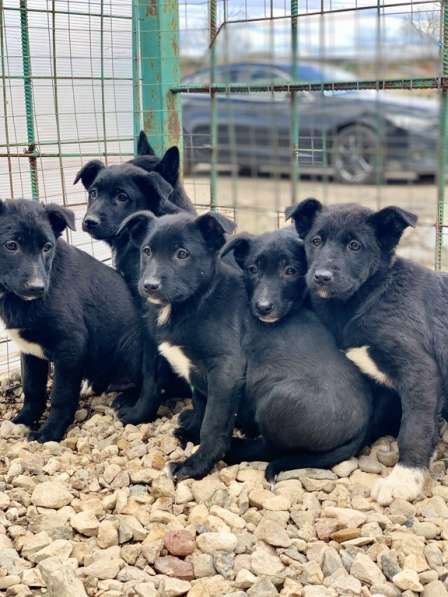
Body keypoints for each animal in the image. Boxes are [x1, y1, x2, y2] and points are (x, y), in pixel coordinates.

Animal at [0, 200, 144, 442]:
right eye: (11, 245)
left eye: (47, 247)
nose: (38, 288)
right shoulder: (30, 351)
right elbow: (32, 389)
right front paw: (23, 420)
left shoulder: (69, 347)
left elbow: (61, 396)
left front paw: (49, 432)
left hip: (130, 344)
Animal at [222, 227, 400, 480]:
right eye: (252, 269)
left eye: (291, 271)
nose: (263, 307)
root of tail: (360, 432)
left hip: (277, 402)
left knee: (273, 448)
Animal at [288, 199, 448, 502]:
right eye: (316, 241)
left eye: (355, 246)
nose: (321, 277)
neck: (370, 295)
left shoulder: (419, 370)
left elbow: (415, 426)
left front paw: (405, 478)